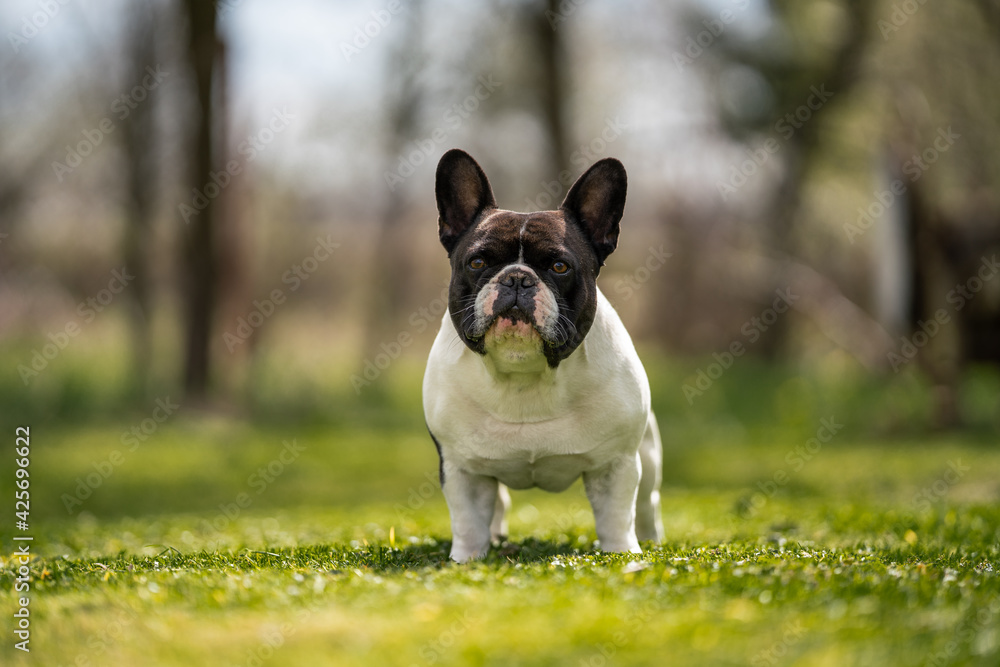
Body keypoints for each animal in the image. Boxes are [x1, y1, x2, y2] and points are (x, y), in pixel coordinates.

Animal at [422, 149, 664, 560]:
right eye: (477, 263)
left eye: (559, 266)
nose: (517, 277)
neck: (525, 376)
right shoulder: (462, 468)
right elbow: (468, 521)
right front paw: (466, 559)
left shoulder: (615, 465)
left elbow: (616, 516)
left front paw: (621, 556)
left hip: (647, 455)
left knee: (647, 504)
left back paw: (649, 541)